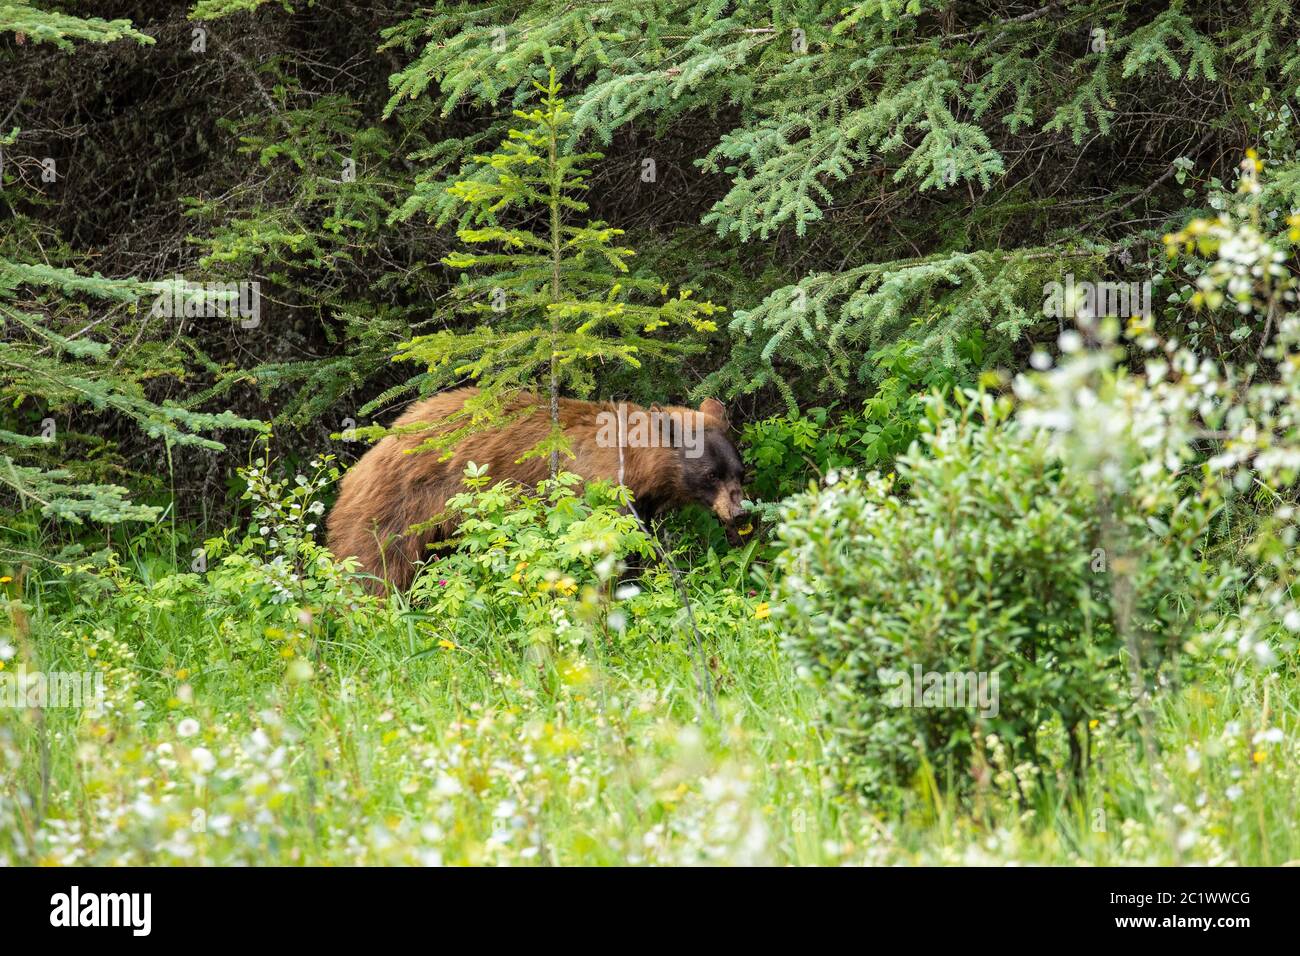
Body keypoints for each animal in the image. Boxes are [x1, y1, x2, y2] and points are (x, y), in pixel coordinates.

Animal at [330, 387, 748, 590]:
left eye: (739, 473)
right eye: (711, 475)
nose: (739, 513)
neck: (633, 464)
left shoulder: (637, 506)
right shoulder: (590, 493)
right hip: (399, 506)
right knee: (374, 563)